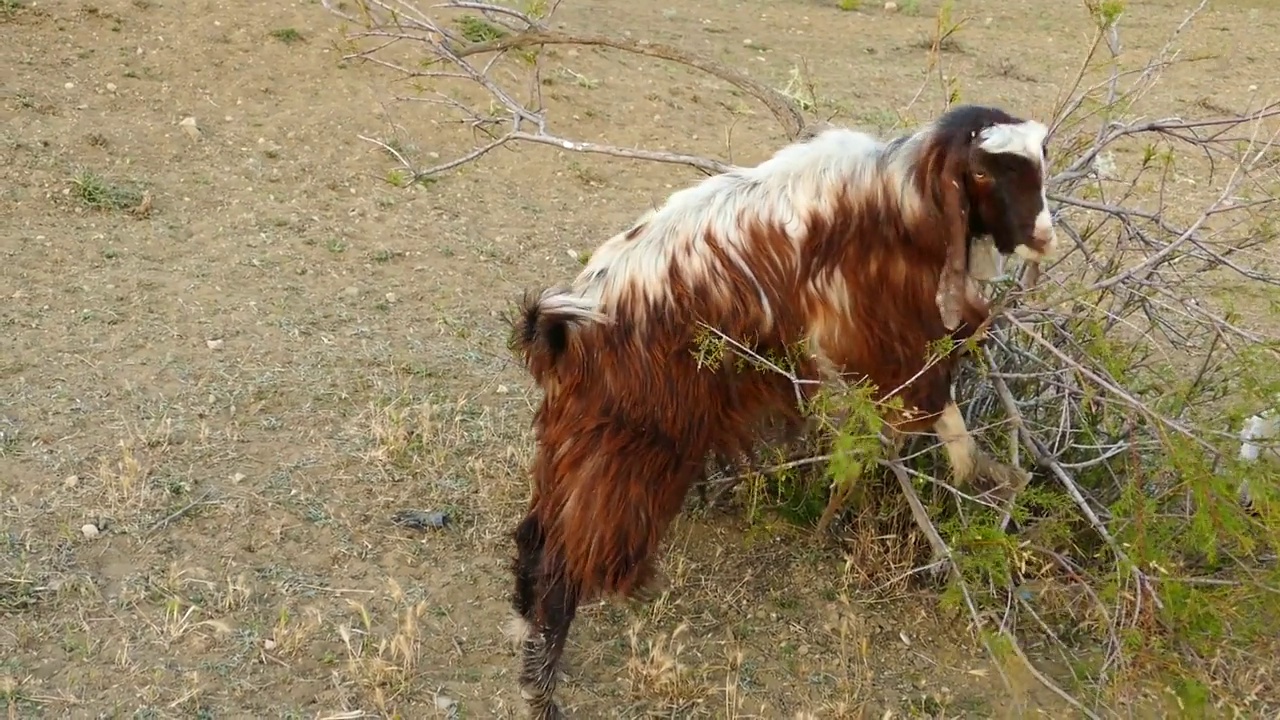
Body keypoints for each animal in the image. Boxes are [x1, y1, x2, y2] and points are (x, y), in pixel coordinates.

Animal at [504, 101, 1054, 712]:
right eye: (981, 171)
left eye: (1041, 160)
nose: (1042, 236)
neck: (898, 195)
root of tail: (563, 329)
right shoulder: (878, 337)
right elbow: (929, 402)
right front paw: (981, 474)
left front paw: (987, 476)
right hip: (625, 449)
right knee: (564, 558)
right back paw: (541, 688)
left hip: (578, 437)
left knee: (534, 536)